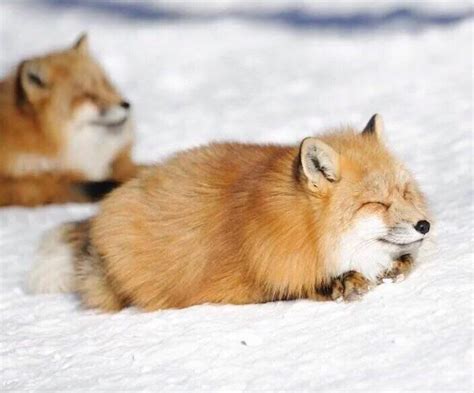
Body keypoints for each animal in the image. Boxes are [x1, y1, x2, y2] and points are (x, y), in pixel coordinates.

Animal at [27, 115, 432, 310]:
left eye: (404, 192)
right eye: (376, 203)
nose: (424, 225)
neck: (303, 230)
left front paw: (396, 265)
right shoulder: (251, 281)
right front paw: (344, 283)